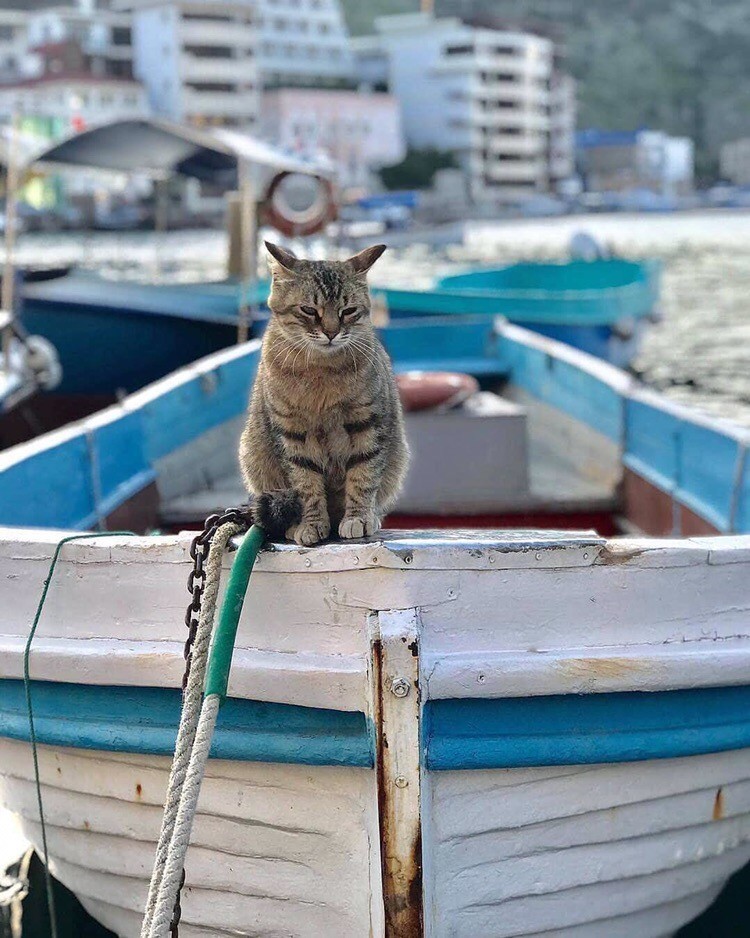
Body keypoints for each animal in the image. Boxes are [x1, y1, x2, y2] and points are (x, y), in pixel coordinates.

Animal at [238, 241, 408, 544]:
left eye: (348, 310)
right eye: (308, 310)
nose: (331, 332)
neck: (321, 370)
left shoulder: (367, 423)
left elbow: (363, 475)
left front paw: (358, 517)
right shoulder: (292, 432)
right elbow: (305, 484)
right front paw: (311, 522)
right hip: (252, 454)